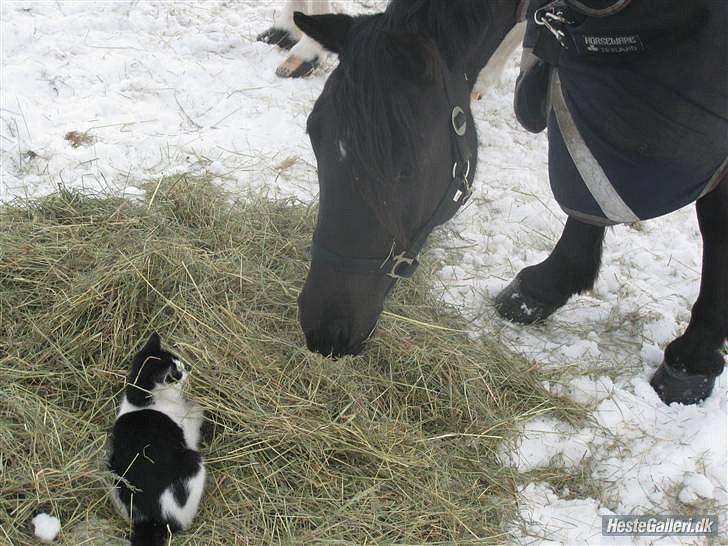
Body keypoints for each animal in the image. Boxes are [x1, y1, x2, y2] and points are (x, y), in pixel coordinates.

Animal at [111, 332, 208, 544]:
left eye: (179, 362)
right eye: (175, 374)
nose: (188, 369)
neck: (143, 403)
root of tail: (156, 521)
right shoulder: (189, 428)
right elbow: (197, 411)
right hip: (194, 461)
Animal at [292, 0, 724, 404]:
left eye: (406, 165)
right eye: (313, 133)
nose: (325, 330)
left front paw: (694, 359)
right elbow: (585, 171)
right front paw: (545, 287)